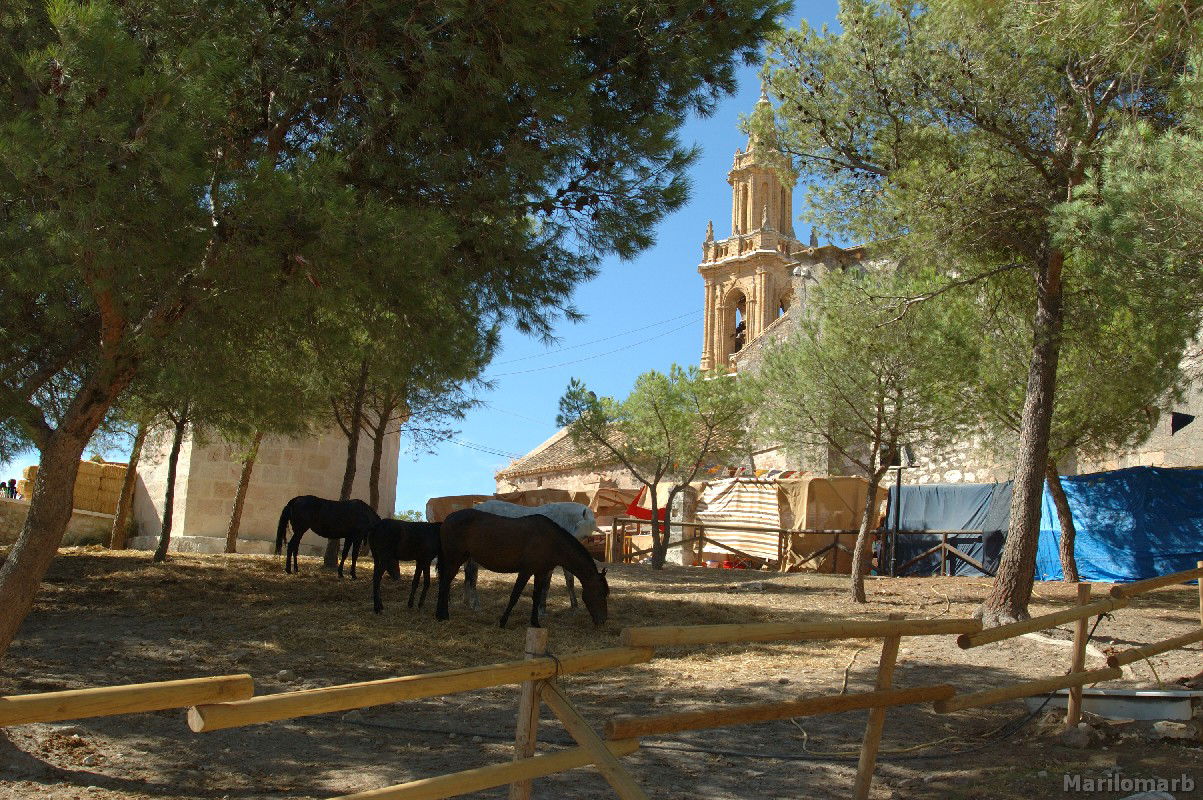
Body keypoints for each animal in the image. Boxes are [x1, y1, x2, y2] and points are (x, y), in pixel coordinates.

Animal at [435, 507, 611, 625]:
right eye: (600, 593)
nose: (603, 620)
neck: (551, 540)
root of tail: (447, 519)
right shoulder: (526, 571)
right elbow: (515, 595)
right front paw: (503, 621)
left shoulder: (541, 572)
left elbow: (536, 596)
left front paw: (535, 622)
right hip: (454, 560)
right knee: (444, 585)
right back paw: (441, 615)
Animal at [471, 495, 599, 613]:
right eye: (577, 526)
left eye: (586, 537)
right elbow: (546, 584)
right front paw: (542, 608)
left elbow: (570, 581)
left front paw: (575, 606)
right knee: (472, 575)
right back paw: (474, 604)